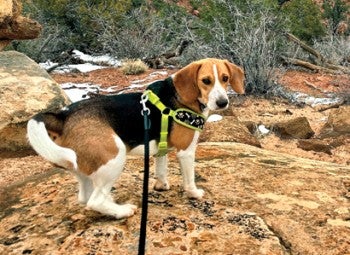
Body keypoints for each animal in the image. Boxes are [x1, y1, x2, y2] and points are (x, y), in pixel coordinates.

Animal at [26, 57, 243, 219]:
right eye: (206, 81)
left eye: (225, 78)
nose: (223, 103)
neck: (183, 96)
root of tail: (63, 116)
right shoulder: (186, 152)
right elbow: (189, 179)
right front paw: (194, 193)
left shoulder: (161, 149)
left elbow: (161, 169)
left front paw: (161, 186)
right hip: (114, 157)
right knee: (94, 201)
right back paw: (123, 211)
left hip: (83, 167)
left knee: (86, 198)